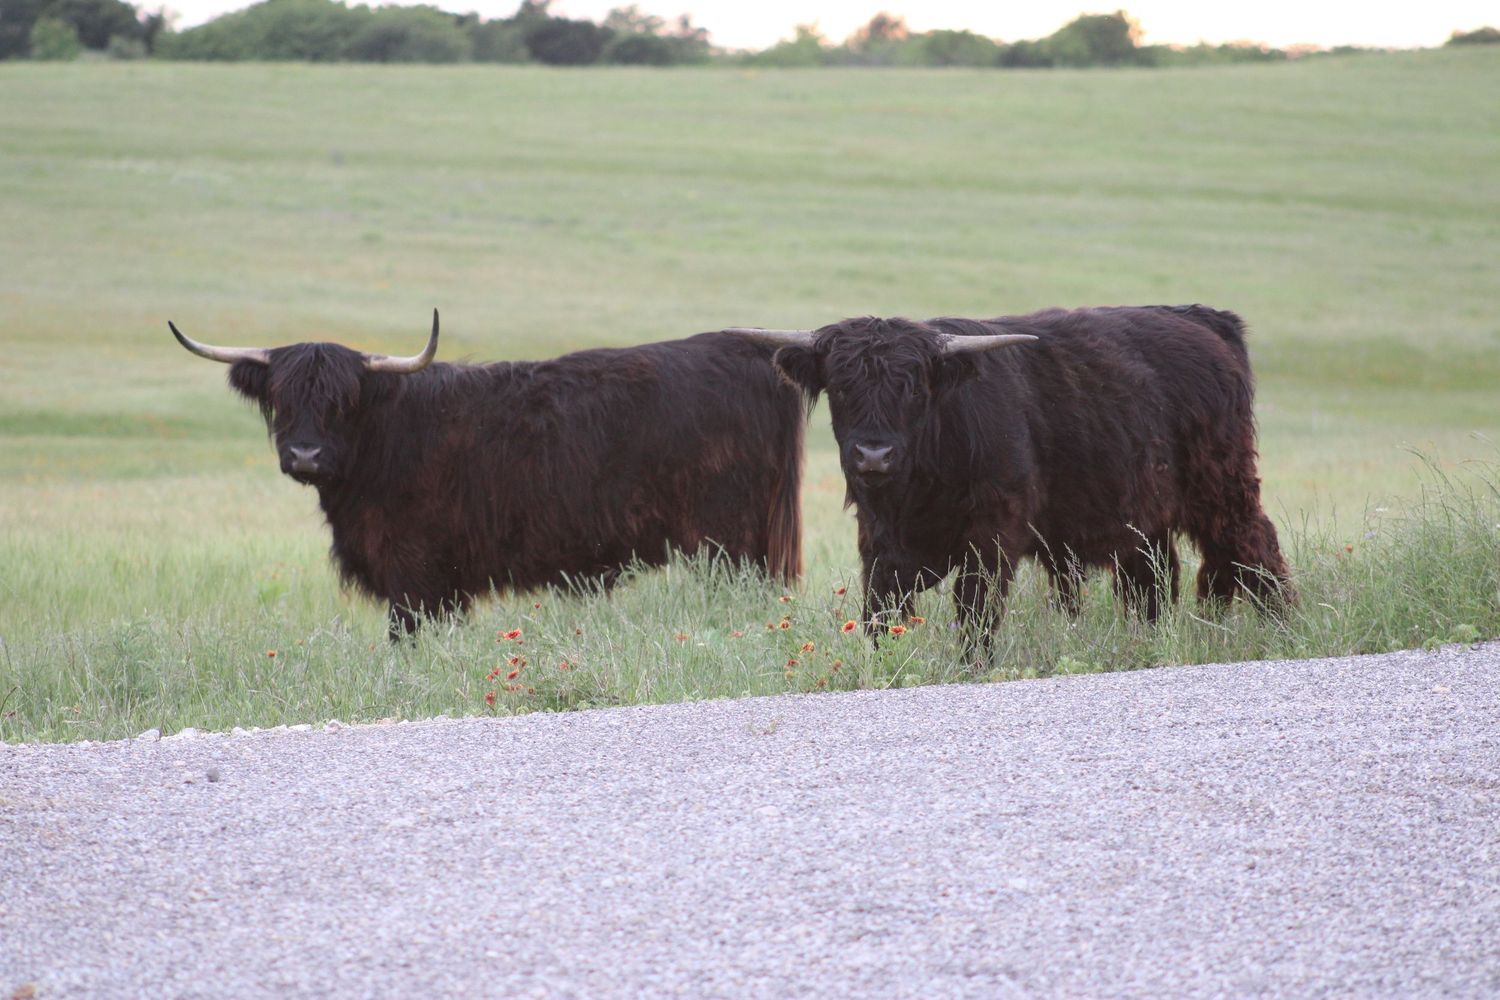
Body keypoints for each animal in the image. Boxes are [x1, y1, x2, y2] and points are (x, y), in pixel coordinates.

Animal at [172, 311, 806, 636]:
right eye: (280, 399)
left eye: (342, 403)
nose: (305, 456)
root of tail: (748, 349)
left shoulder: (414, 571)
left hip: (729, 540)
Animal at [729, 305, 1294, 646]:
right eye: (841, 386)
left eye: (914, 388)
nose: (874, 455)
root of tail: (1200, 319)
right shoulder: (880, 544)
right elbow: (880, 612)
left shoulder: (992, 535)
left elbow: (976, 611)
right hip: (1143, 516)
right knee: (1153, 579)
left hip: (1223, 487)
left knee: (1253, 546)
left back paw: (1284, 627)